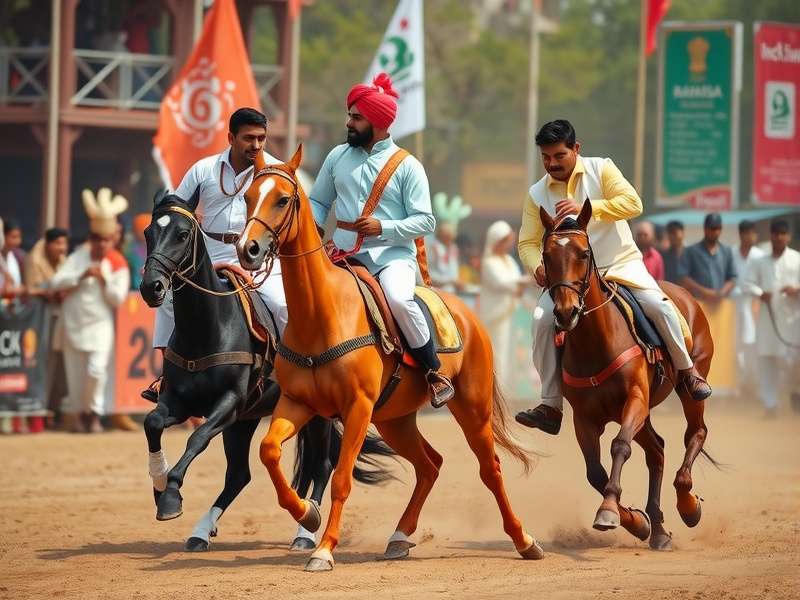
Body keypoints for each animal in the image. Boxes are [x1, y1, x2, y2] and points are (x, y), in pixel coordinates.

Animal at [139, 189, 393, 551]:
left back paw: (304, 531)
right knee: (239, 475)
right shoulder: (180, 401)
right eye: (149, 232)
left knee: (321, 464)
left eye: (182, 234)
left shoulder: (228, 404)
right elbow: (153, 422)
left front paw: (171, 493)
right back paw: (205, 530)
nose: (152, 287)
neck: (207, 328)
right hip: (249, 420)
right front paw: (160, 484)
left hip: (311, 415)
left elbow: (197, 438)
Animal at [232, 146, 543, 572]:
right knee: (430, 464)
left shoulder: (358, 408)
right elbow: (269, 451)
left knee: (489, 469)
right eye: (247, 197)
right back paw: (399, 536)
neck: (321, 314)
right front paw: (306, 515)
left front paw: (323, 549)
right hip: (396, 420)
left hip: (471, 410)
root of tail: (467, 314)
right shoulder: (297, 403)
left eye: (282, 199)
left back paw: (524, 540)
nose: (248, 249)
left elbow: (342, 479)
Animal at [539, 200, 717, 550]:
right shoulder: (585, 418)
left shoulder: (634, 399)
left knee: (695, 432)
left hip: (688, 385)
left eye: (583, 253)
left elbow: (620, 445)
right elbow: (595, 472)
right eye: (547, 256)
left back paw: (688, 505)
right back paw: (658, 529)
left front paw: (609, 510)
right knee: (657, 450)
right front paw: (635, 521)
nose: (566, 312)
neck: (597, 343)